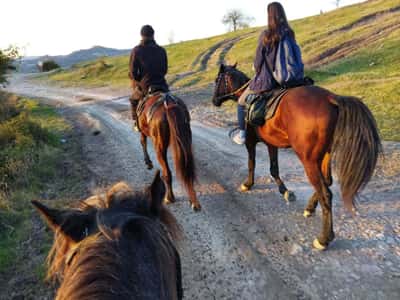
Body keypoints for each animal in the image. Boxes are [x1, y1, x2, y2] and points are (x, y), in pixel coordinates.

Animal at [130, 79, 202, 211]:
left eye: (133, 102)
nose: (133, 117)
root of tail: (168, 104)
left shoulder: (143, 132)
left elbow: (142, 142)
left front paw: (148, 163)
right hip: (186, 140)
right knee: (188, 168)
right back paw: (194, 201)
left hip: (160, 147)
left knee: (167, 172)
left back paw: (169, 197)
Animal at [212, 63, 382, 251]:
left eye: (217, 80)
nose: (214, 100)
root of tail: (331, 98)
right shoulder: (271, 143)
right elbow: (274, 168)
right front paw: (286, 192)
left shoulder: (250, 142)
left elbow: (252, 163)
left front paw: (248, 184)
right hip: (324, 155)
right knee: (327, 182)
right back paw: (310, 208)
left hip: (308, 160)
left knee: (326, 193)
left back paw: (324, 238)